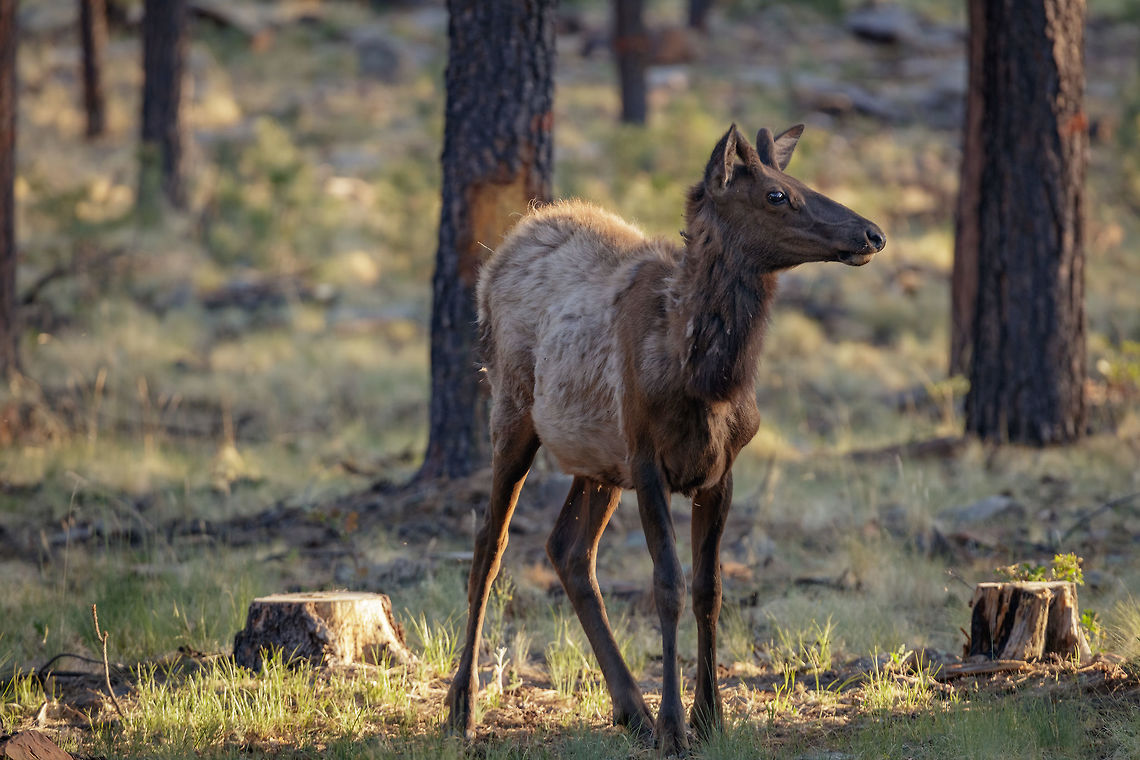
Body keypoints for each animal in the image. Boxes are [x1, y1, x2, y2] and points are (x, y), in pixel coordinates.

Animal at [445, 124, 886, 754]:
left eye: (796, 179)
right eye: (777, 194)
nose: (872, 233)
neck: (706, 378)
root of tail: (501, 253)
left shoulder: (721, 470)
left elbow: (710, 587)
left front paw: (710, 718)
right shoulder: (648, 459)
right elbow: (668, 584)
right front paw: (677, 728)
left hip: (600, 461)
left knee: (567, 548)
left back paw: (632, 708)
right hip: (514, 413)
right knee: (490, 542)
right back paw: (463, 707)